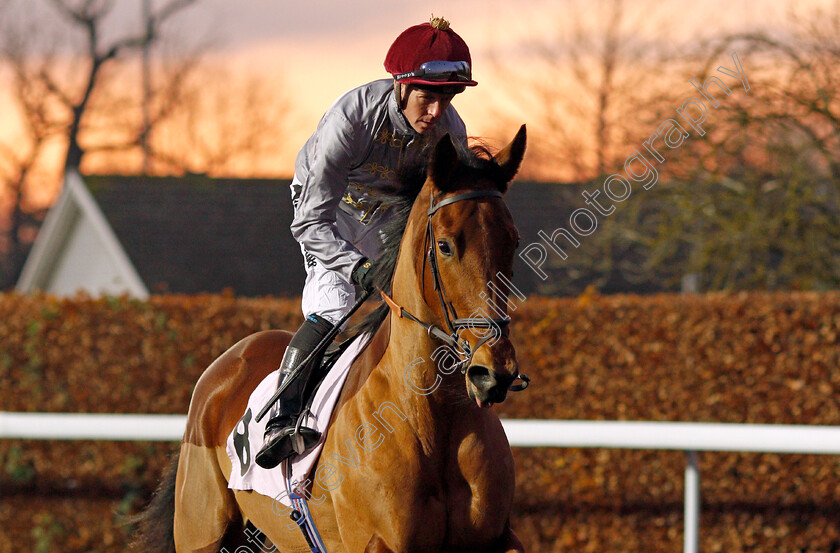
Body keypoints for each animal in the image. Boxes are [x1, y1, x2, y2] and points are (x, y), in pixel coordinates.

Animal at [130, 124, 524, 552]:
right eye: (446, 245)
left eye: (513, 242)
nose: (493, 371)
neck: (432, 417)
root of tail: (228, 361)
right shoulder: (377, 543)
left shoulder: (498, 538)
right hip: (202, 530)